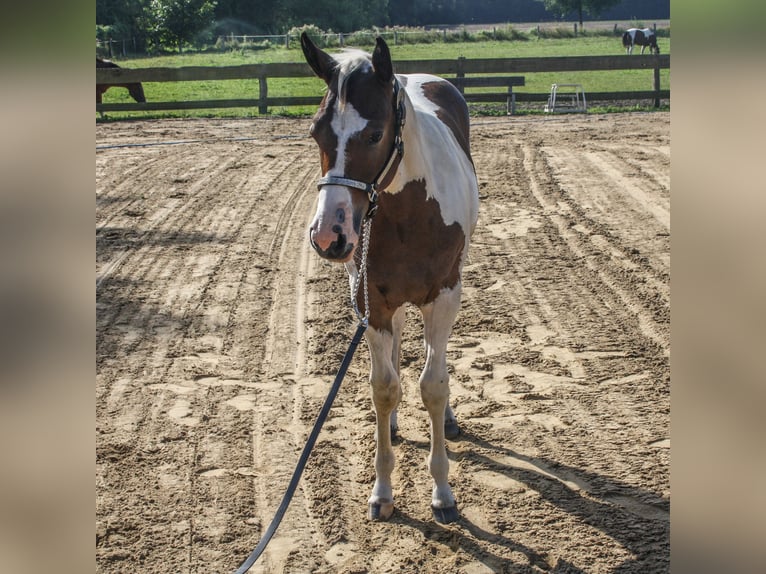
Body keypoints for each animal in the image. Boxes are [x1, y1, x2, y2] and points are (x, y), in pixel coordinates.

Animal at [302, 32, 476, 528]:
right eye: (317, 132)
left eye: (375, 134)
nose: (329, 235)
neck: (408, 214)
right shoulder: (372, 301)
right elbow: (384, 388)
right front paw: (382, 491)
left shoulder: (444, 296)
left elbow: (434, 385)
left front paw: (442, 492)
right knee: (397, 349)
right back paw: (397, 424)